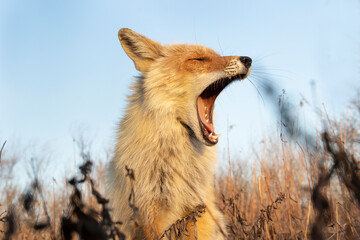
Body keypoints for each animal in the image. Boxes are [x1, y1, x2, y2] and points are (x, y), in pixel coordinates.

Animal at [106, 28, 253, 240]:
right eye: (199, 59)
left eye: (217, 55)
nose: (248, 59)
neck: (177, 162)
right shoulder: (148, 213)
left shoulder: (193, 209)